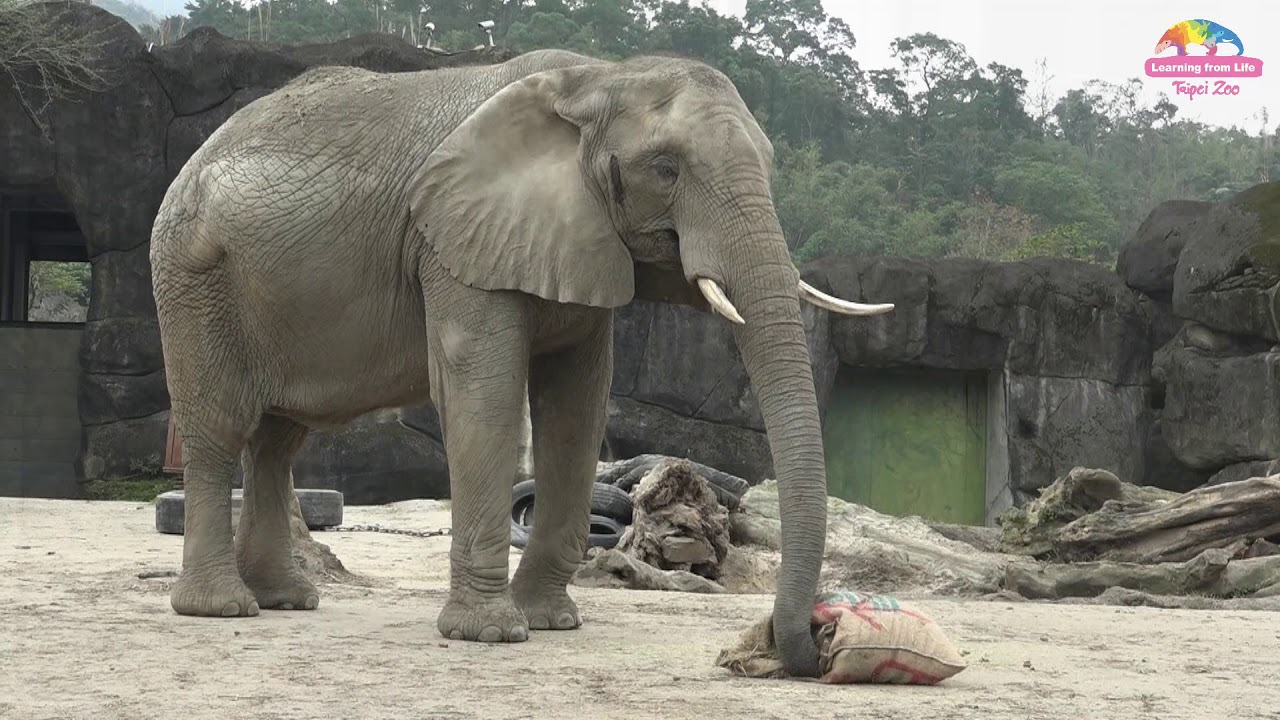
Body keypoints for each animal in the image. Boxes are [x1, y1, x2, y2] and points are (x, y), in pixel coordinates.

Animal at [149, 47, 890, 676]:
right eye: (666, 169)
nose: (807, 646)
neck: (596, 80)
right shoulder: (452, 241)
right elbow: (486, 395)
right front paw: (492, 634)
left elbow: (576, 408)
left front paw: (553, 622)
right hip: (194, 276)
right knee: (221, 430)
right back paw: (223, 608)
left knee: (278, 438)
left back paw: (287, 599)